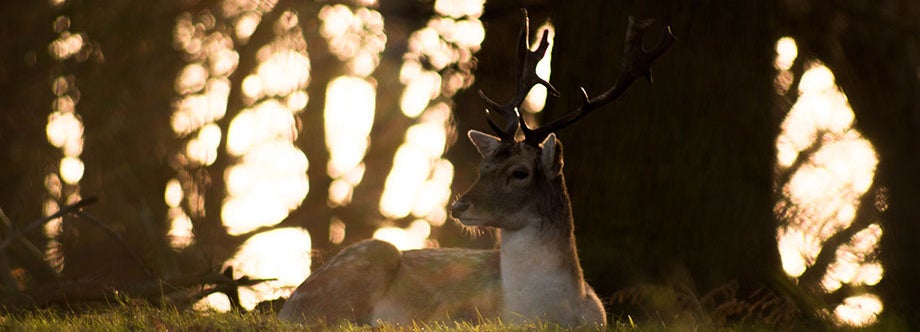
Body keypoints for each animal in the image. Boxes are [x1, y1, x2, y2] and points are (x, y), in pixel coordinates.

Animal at [276, 12, 672, 326]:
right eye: (484, 164)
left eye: (520, 172)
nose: (458, 205)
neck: (544, 314)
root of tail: (287, 306)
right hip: (368, 258)